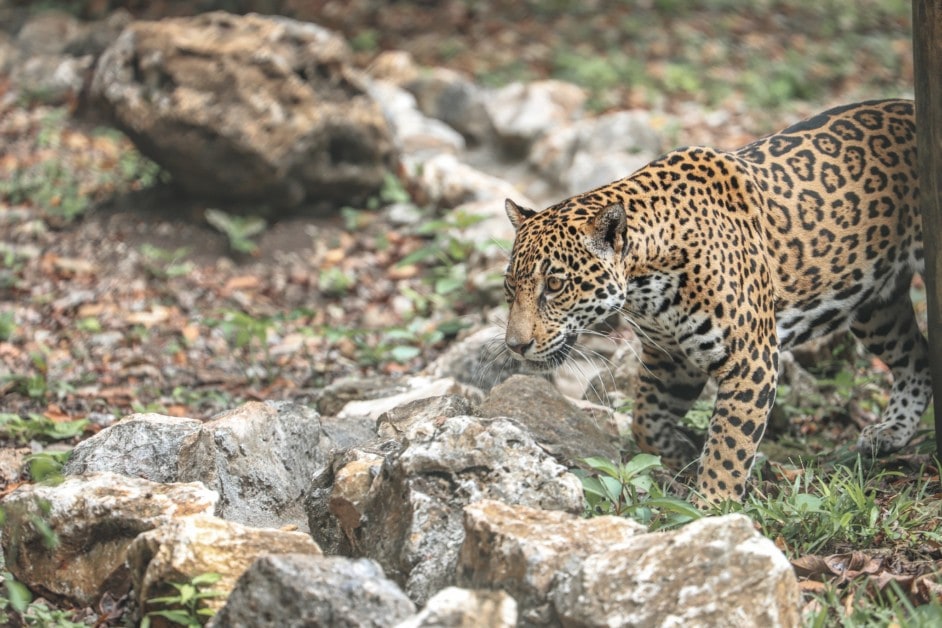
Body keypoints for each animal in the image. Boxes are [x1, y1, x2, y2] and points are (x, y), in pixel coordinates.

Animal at [502, 99, 930, 503]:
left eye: (554, 285)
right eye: (509, 286)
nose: (515, 346)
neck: (646, 285)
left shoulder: (751, 359)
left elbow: (730, 442)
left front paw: (712, 502)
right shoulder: (672, 357)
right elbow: (645, 421)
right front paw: (683, 456)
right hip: (876, 309)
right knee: (916, 358)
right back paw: (891, 432)